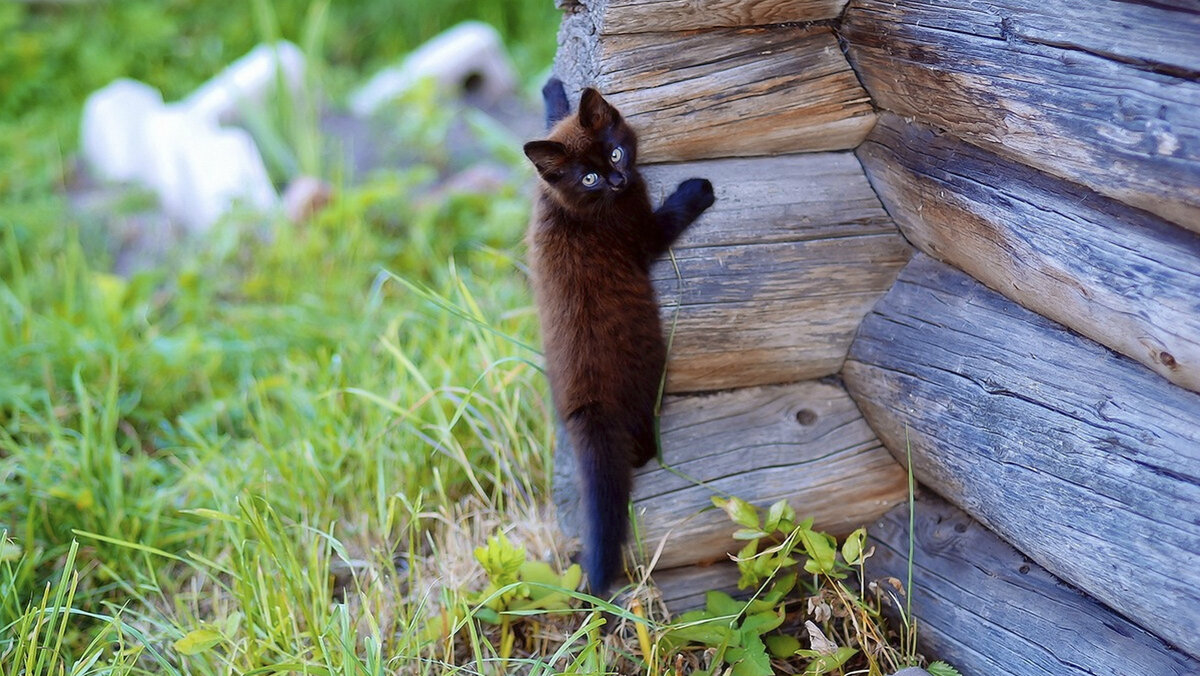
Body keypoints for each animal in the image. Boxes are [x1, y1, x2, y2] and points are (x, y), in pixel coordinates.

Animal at [523, 80, 710, 593]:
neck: (567, 208)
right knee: (640, 443)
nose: (618, 179)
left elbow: (552, 124)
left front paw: (554, 93)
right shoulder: (641, 234)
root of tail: (587, 405)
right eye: (588, 178)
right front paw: (696, 191)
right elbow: (669, 219)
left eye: (614, 151)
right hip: (649, 370)